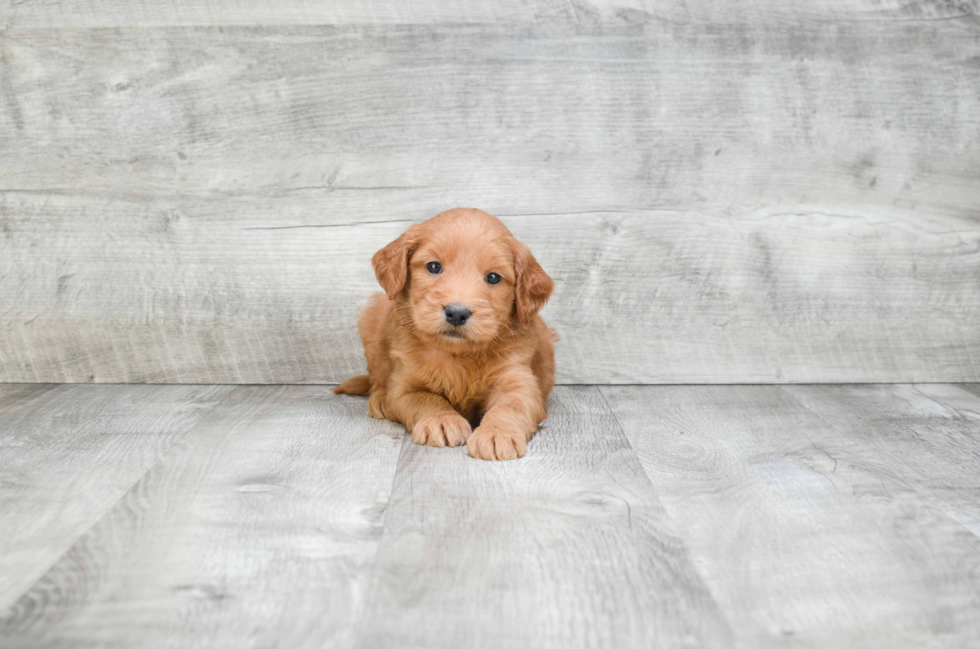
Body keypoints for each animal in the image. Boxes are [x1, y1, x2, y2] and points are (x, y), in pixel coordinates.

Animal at [334, 208, 552, 460]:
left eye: (493, 277)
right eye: (434, 267)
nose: (457, 313)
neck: (457, 354)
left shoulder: (518, 380)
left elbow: (511, 405)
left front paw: (497, 433)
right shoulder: (404, 385)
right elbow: (426, 398)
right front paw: (441, 420)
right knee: (376, 377)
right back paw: (379, 398)